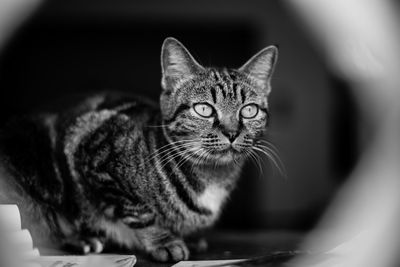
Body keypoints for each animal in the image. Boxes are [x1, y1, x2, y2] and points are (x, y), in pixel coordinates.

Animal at [0, 37, 278, 264]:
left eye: (249, 110)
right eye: (204, 109)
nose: (231, 132)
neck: (213, 176)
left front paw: (188, 237)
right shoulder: (93, 156)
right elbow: (138, 211)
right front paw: (164, 241)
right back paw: (79, 239)